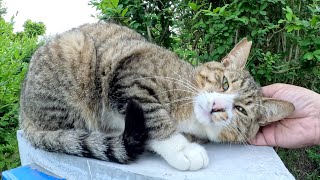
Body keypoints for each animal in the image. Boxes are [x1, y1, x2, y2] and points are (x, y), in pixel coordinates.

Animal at [20, 21, 296, 171]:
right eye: (225, 83)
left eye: (240, 110)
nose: (217, 106)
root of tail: (25, 114)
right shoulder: (129, 77)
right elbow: (153, 115)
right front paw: (182, 149)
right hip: (77, 52)